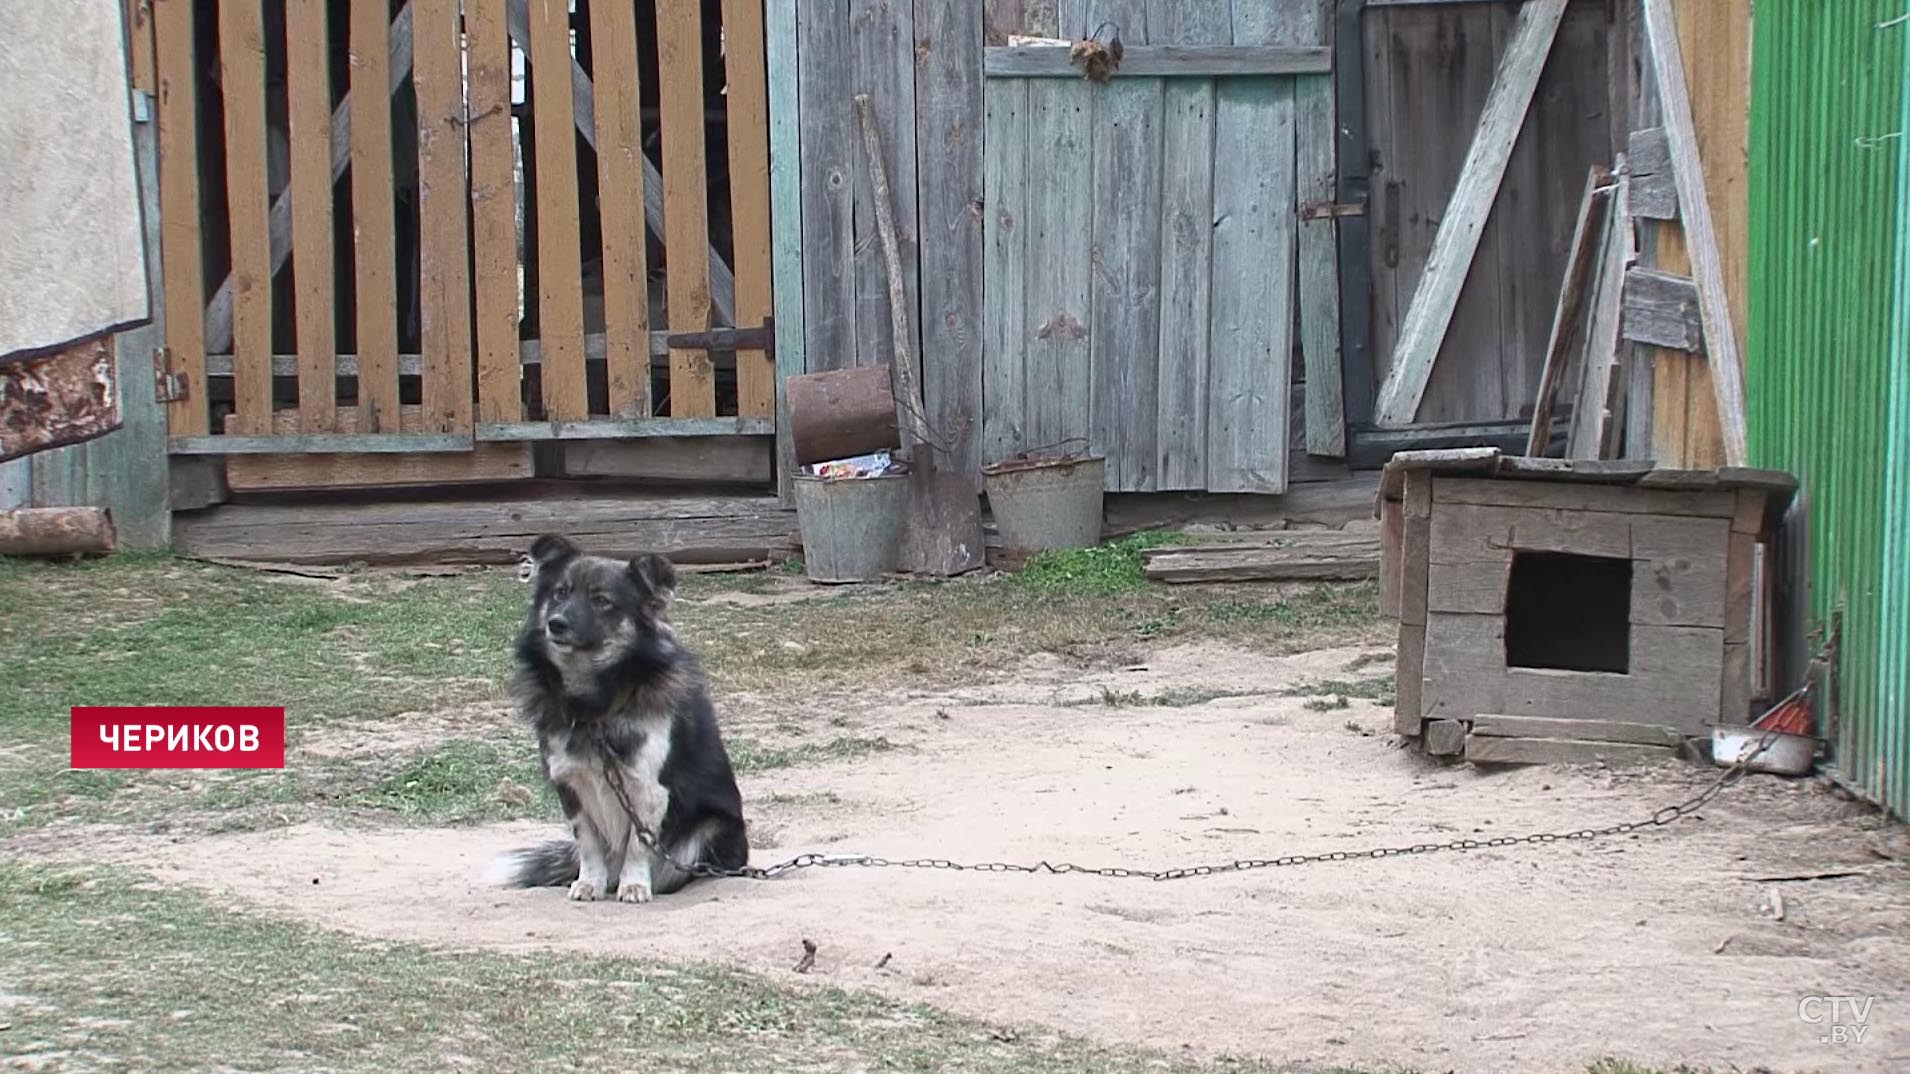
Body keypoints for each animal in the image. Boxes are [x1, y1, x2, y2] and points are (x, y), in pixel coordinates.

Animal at [488, 531, 748, 898]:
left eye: (601, 600)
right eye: (560, 592)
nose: (556, 624)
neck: (596, 706)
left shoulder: (650, 789)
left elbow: (639, 845)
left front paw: (635, 885)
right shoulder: (571, 786)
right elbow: (588, 844)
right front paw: (588, 884)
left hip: (710, 828)